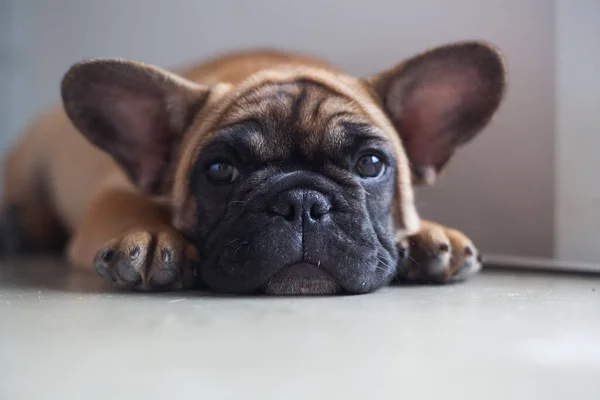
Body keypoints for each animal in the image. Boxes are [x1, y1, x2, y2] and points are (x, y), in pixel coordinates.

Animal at [0, 42, 506, 296]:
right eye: (220, 171)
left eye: (371, 164)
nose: (302, 203)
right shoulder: (112, 192)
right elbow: (134, 210)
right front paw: (154, 239)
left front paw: (427, 234)